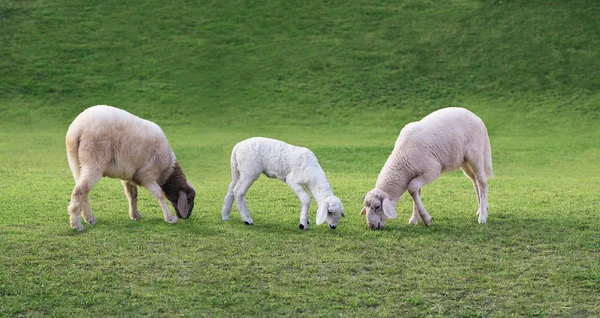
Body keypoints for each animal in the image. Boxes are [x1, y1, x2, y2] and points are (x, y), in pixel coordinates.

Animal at [65, 105, 197, 231]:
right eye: (189, 199)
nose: (187, 216)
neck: (168, 170)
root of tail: (78, 128)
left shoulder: (129, 176)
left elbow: (132, 195)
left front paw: (135, 215)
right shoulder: (147, 176)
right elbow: (159, 195)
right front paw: (170, 218)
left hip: (76, 164)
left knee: (83, 192)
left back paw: (89, 219)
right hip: (94, 162)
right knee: (79, 191)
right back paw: (76, 225)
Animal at [360, 108, 492, 230]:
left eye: (377, 207)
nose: (371, 226)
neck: (402, 161)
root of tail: (478, 119)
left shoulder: (431, 171)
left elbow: (412, 188)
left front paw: (426, 219)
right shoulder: (416, 174)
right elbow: (416, 192)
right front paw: (414, 219)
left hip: (475, 154)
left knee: (482, 181)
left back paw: (482, 216)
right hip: (464, 161)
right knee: (475, 181)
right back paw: (481, 209)